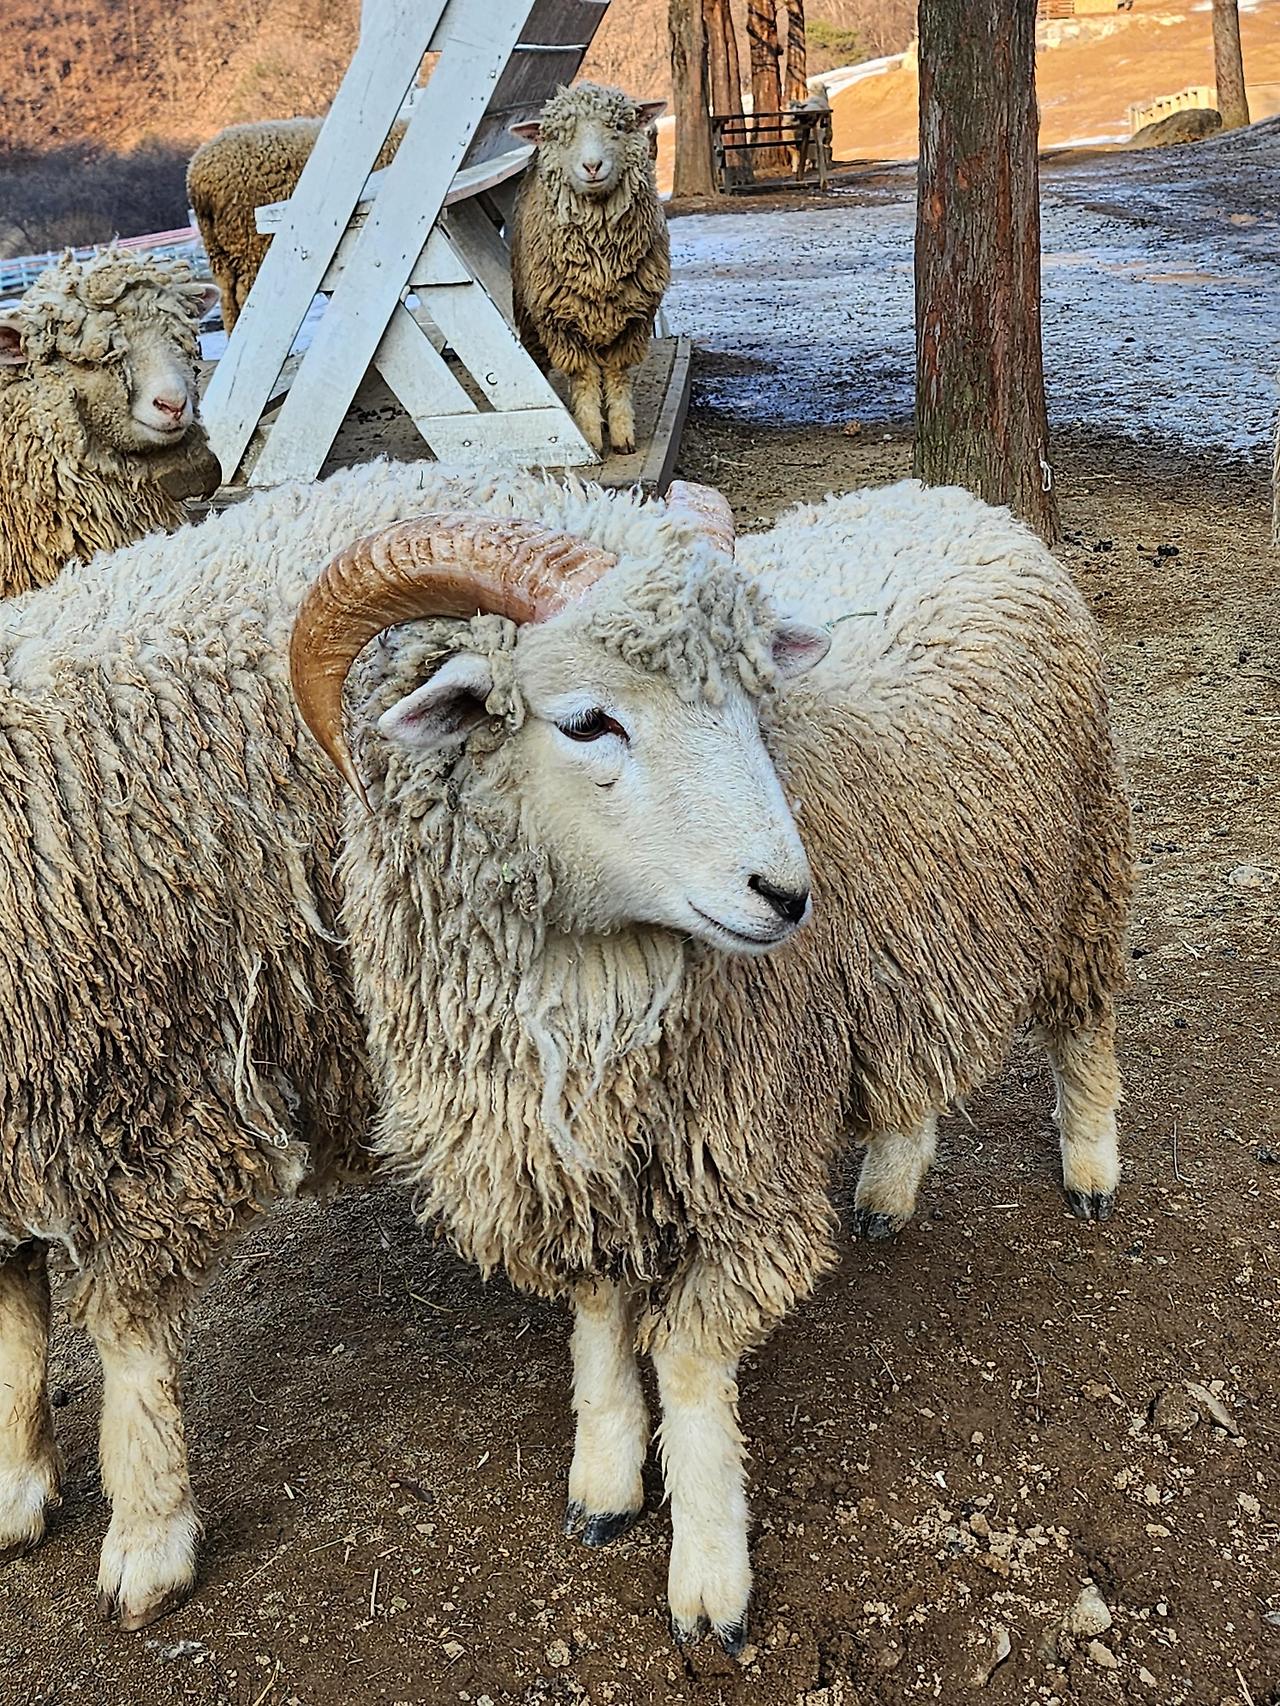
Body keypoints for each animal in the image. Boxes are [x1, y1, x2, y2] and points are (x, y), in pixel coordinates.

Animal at [290, 474, 1133, 1644]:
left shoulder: (744, 1158)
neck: (590, 998)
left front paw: (708, 1573)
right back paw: (889, 1183)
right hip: (906, 941)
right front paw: (603, 1482)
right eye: (586, 720)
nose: (787, 895)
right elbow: (599, 1323)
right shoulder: (566, 1166)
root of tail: (946, 493)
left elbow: (688, 1358)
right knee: (908, 1066)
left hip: (1082, 857)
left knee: (1083, 1022)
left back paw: (1090, 1163)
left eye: (748, 698)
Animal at [512, 83, 672, 457]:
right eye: (560, 136)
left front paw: (623, 435)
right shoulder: (560, 323)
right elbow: (584, 379)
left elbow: (616, 377)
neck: (599, 262)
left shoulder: (633, 321)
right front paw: (591, 435)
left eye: (620, 127)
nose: (592, 165)